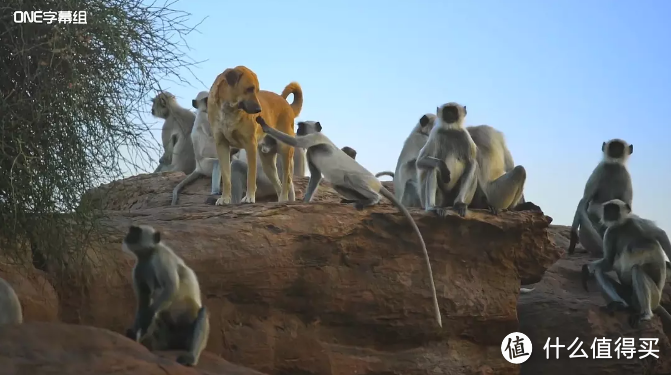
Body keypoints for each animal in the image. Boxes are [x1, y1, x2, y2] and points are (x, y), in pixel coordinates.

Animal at [122, 225, 210, 366]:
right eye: (132, 230)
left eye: (136, 232)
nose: (128, 235)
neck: (148, 255)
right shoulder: (139, 268)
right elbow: (143, 301)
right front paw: (134, 332)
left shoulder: (161, 258)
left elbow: (171, 288)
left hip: (187, 334)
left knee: (202, 311)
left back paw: (191, 357)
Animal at [207, 65, 302, 206]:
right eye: (249, 89)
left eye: (257, 90)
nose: (259, 111)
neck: (229, 109)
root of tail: (287, 105)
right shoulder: (221, 144)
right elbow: (226, 176)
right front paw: (225, 198)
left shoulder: (250, 144)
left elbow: (251, 175)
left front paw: (249, 197)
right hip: (268, 163)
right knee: (278, 184)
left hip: (285, 150)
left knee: (286, 180)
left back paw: (284, 199)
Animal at [255, 117, 444, 328]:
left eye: (302, 126)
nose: (298, 129)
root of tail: (377, 184)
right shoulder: (311, 155)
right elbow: (315, 177)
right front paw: (304, 202)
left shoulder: (314, 138)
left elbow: (295, 143)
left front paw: (264, 125)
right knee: (339, 183)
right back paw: (354, 200)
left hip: (361, 179)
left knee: (349, 177)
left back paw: (372, 200)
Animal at [580, 200, 671, 328]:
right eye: (607, 208)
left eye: (614, 208)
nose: (608, 213)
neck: (621, 225)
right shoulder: (611, 231)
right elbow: (608, 261)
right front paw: (586, 270)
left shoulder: (635, 221)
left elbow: (662, 235)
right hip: (628, 295)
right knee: (599, 271)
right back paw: (620, 305)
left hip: (654, 296)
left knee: (637, 268)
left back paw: (645, 314)